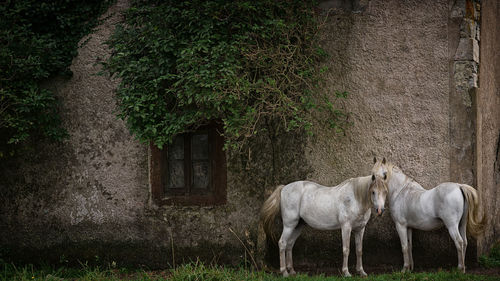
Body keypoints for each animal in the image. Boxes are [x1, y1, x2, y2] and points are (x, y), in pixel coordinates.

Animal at [260, 171, 388, 276]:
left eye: (385, 192)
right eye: (373, 192)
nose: (380, 211)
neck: (355, 198)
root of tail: (284, 188)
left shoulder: (360, 229)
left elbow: (359, 250)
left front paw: (361, 272)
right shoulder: (346, 228)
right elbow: (346, 249)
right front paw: (346, 272)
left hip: (298, 226)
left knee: (290, 244)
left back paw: (291, 271)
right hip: (289, 225)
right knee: (282, 243)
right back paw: (284, 272)